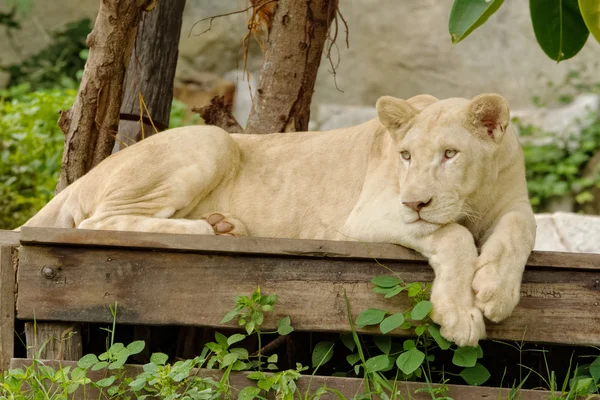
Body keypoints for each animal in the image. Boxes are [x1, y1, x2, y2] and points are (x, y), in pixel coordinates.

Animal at [25, 93, 536, 346]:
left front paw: (496, 291)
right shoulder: (368, 214)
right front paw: (463, 316)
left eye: (450, 154)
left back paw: (225, 225)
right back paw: (211, 229)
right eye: (406, 156)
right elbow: (452, 234)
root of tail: (88, 173)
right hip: (211, 140)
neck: (476, 194)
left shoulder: (514, 204)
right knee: (100, 223)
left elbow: (520, 230)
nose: (416, 202)